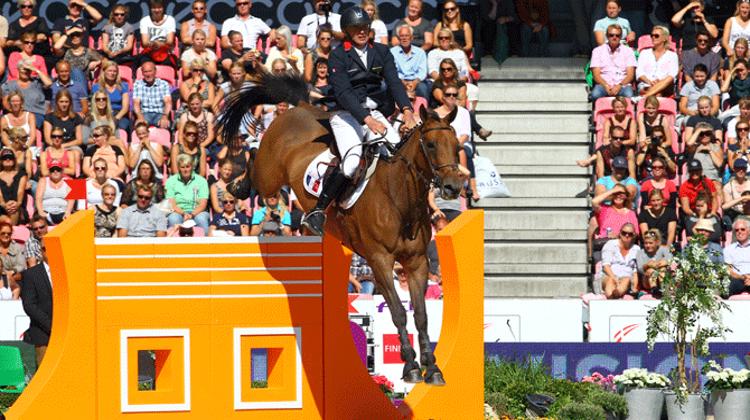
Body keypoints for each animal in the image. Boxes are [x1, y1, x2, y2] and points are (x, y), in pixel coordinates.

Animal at [217, 72, 464, 384]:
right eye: (430, 145)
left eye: (456, 145)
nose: (452, 187)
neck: (399, 197)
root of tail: (301, 106)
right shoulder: (380, 260)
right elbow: (398, 311)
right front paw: (410, 366)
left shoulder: (417, 262)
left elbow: (421, 315)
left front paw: (431, 369)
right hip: (270, 176)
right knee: (254, 163)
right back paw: (237, 186)